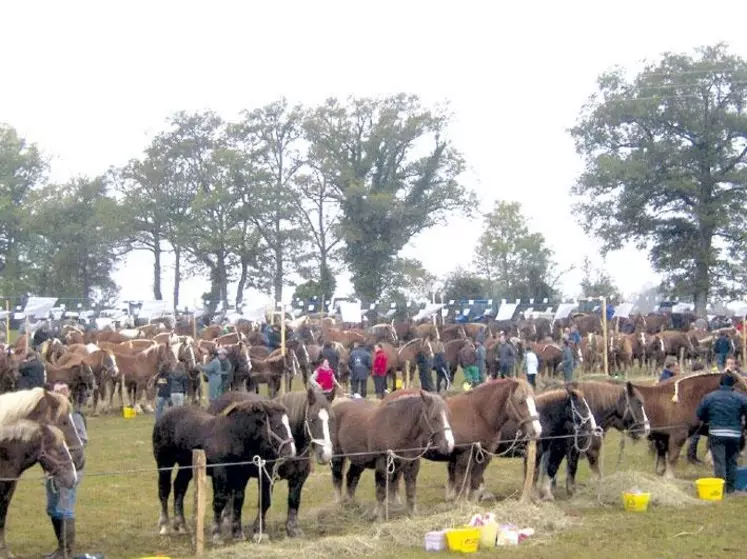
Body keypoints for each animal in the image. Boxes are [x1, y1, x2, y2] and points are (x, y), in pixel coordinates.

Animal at [153, 400, 296, 544]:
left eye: (289, 424)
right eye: (277, 426)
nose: (291, 451)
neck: (233, 437)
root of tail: (164, 415)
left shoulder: (241, 476)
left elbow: (238, 500)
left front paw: (238, 533)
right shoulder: (220, 473)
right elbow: (219, 500)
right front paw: (216, 534)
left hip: (186, 467)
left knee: (179, 487)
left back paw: (181, 525)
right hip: (164, 464)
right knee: (164, 490)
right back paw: (164, 525)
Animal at [206, 388, 332, 540]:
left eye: (330, 419)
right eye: (313, 419)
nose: (325, 454)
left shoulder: (298, 479)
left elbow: (294, 500)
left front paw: (293, 529)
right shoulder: (267, 477)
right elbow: (265, 502)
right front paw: (258, 530)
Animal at [334, 390, 456, 520]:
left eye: (449, 415)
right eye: (434, 417)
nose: (449, 444)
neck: (395, 428)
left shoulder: (412, 464)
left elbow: (411, 490)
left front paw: (412, 513)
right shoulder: (383, 464)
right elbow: (381, 491)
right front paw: (378, 516)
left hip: (359, 460)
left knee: (352, 476)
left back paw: (350, 503)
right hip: (337, 456)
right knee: (338, 477)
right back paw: (339, 504)